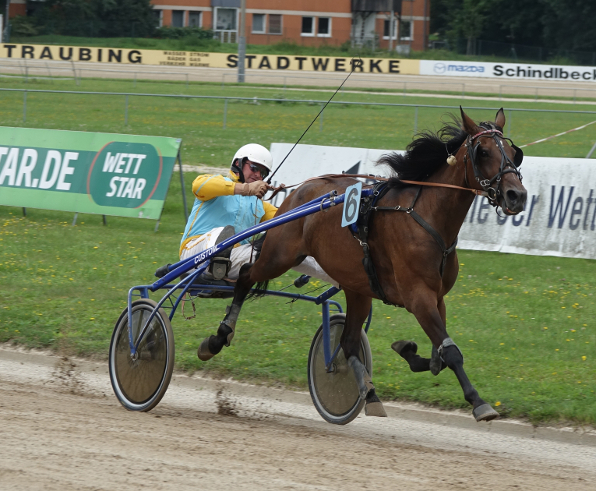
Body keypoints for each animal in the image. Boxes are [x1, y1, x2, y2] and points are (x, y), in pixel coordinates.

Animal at [199, 107, 528, 422]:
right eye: (483, 151)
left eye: (514, 153)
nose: (517, 195)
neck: (425, 216)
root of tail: (299, 191)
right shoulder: (418, 296)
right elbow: (452, 353)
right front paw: (479, 403)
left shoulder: (437, 297)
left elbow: (439, 356)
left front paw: (408, 350)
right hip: (279, 255)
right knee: (245, 277)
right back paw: (217, 338)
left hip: (357, 287)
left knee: (347, 342)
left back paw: (370, 395)